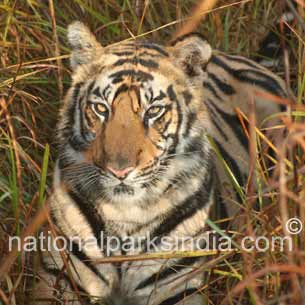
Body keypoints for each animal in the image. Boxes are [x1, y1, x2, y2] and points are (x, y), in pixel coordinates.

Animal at [31, 20, 288, 302]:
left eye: (153, 111)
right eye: (100, 109)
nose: (119, 171)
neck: (124, 217)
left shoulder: (178, 288)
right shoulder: (59, 278)